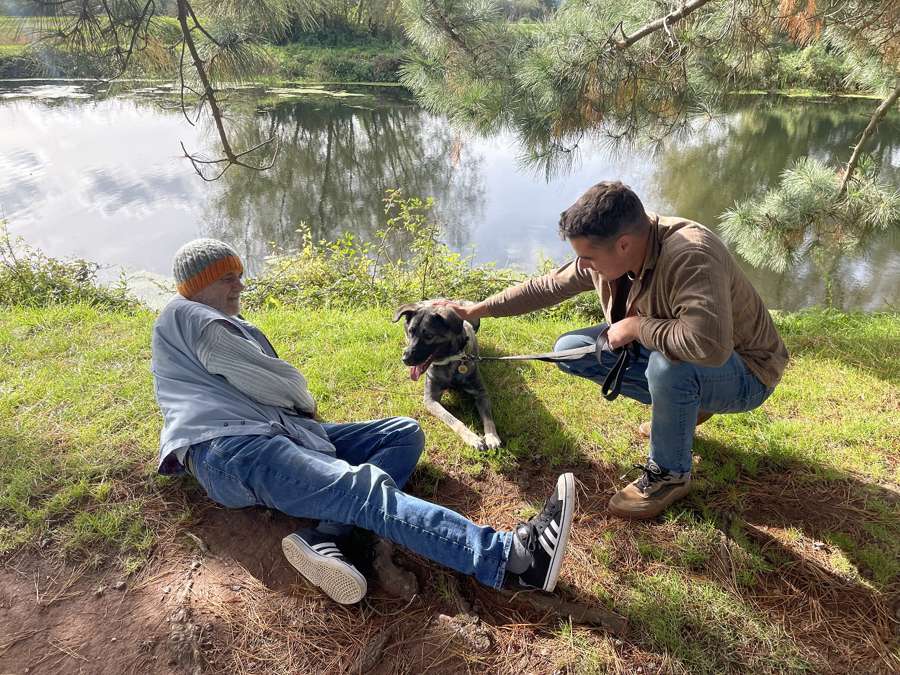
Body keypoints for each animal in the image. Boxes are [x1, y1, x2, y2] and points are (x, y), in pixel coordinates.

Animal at [394, 300, 502, 448]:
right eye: (410, 331)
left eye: (429, 336)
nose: (405, 359)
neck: (450, 361)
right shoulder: (430, 399)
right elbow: (453, 420)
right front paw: (471, 437)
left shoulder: (481, 393)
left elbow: (488, 417)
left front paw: (492, 436)